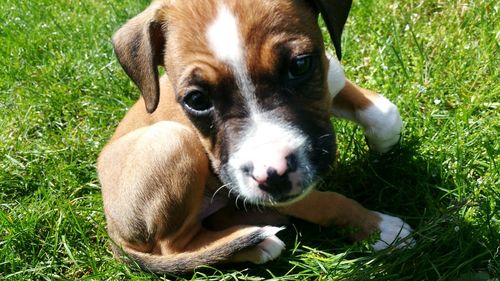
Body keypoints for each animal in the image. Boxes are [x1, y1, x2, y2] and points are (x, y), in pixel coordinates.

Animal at [96, 0, 414, 272]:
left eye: (300, 65)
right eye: (196, 100)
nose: (272, 175)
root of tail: (112, 230)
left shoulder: (329, 74)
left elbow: (385, 114)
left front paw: (383, 142)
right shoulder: (276, 191)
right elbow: (326, 203)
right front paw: (376, 228)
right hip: (172, 139)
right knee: (174, 247)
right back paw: (256, 243)